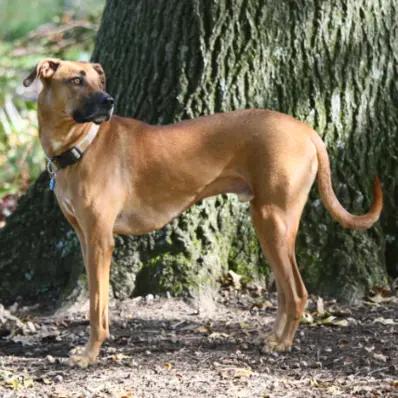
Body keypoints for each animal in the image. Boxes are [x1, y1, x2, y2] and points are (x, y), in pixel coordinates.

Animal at [24, 58, 382, 366]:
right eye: (76, 80)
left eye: (99, 81)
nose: (109, 101)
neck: (82, 147)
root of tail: (306, 131)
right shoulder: (86, 239)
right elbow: (98, 301)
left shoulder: (100, 241)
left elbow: (96, 306)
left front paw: (89, 354)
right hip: (266, 224)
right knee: (284, 291)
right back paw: (274, 336)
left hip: (274, 221)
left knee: (296, 292)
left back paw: (282, 343)